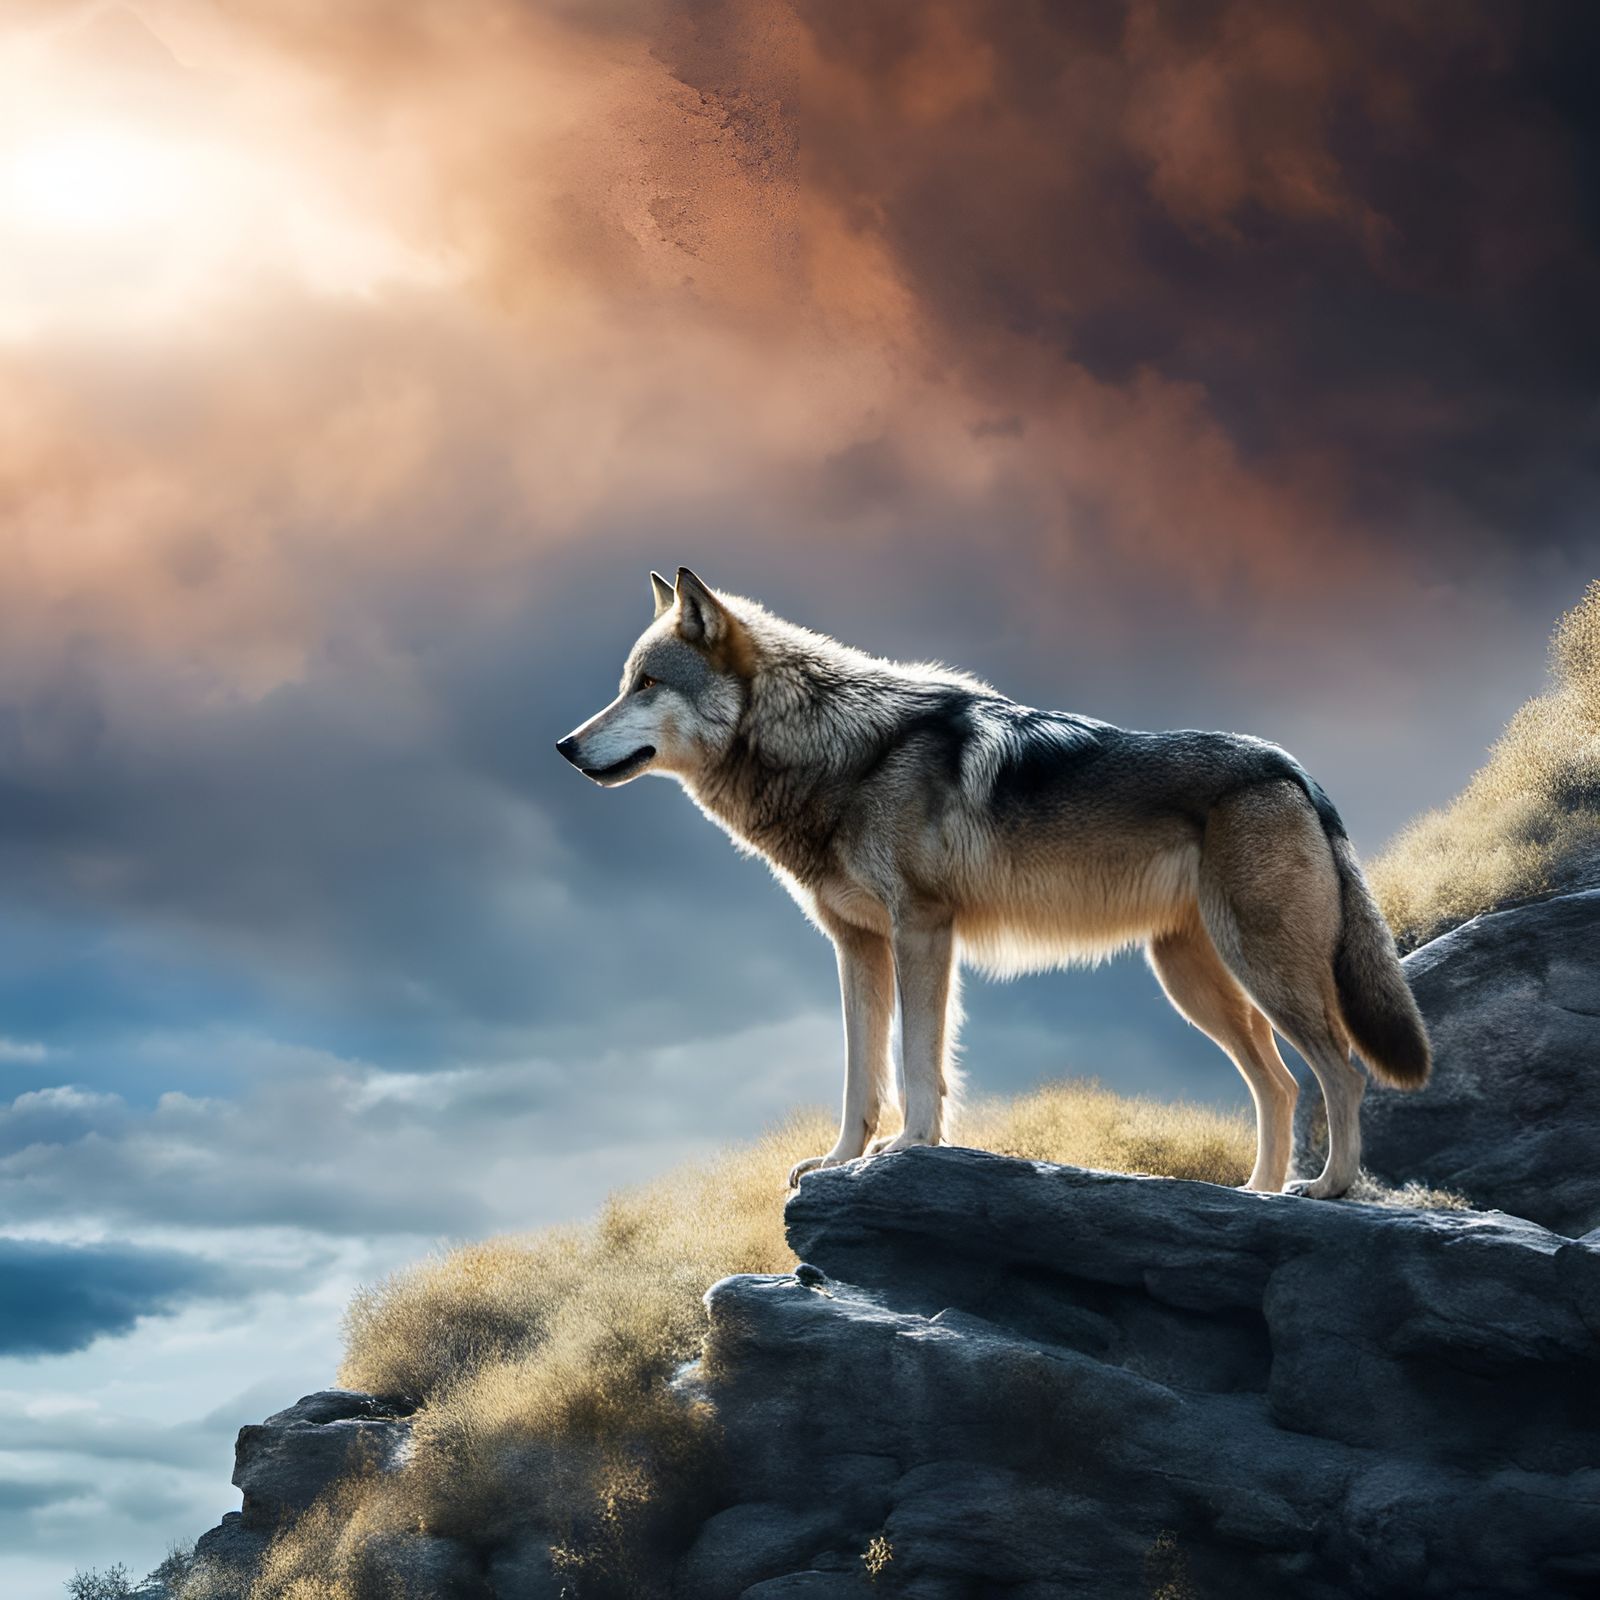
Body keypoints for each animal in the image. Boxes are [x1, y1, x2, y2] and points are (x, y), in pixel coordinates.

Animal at [556, 568, 1430, 1199]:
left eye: (645, 685)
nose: (564, 746)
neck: (841, 752)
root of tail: (1293, 769)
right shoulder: (857, 947)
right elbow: (860, 1073)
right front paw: (840, 1161)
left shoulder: (922, 931)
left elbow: (917, 1063)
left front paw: (908, 1149)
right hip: (1195, 982)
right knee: (1279, 1085)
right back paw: (1258, 1194)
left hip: (1263, 972)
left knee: (1342, 1072)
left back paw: (1329, 1189)